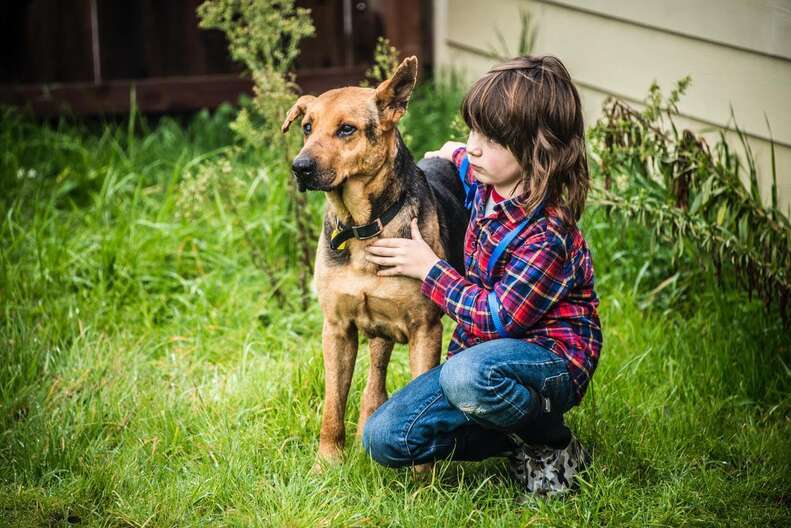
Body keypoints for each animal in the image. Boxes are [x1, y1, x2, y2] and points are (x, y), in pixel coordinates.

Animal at [280, 56, 470, 466]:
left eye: (346, 129)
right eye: (307, 127)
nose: (299, 167)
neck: (362, 226)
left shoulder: (425, 330)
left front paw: (423, 478)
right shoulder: (337, 328)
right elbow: (333, 405)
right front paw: (327, 463)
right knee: (375, 375)